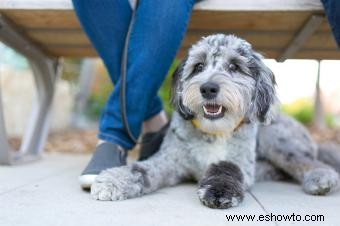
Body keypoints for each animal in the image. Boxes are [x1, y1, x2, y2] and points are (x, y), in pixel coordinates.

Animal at [90, 33, 340, 208]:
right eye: (198, 66)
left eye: (234, 66)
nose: (208, 88)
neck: (214, 132)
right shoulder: (170, 161)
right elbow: (141, 169)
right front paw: (114, 180)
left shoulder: (240, 161)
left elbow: (227, 167)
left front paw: (220, 191)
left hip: (276, 140)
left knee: (307, 160)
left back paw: (321, 177)